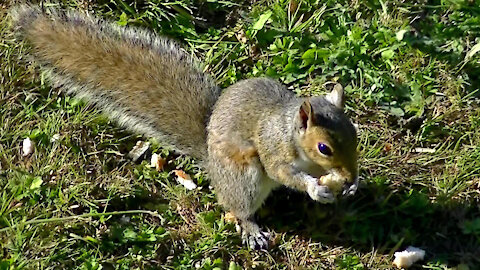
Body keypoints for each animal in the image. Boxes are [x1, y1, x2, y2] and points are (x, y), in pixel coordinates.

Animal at [10, 4, 360, 250]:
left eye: (355, 136)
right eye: (324, 148)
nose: (349, 176)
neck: (291, 133)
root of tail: (209, 159)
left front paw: (352, 185)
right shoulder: (272, 147)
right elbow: (283, 173)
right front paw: (316, 188)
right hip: (242, 178)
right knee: (239, 207)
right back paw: (252, 229)